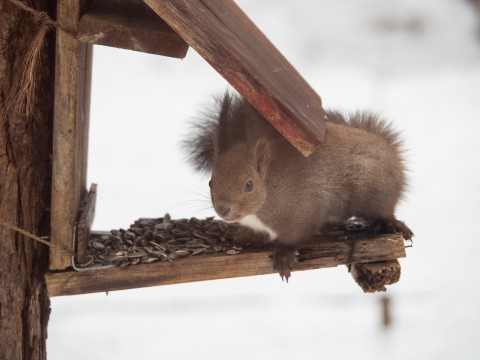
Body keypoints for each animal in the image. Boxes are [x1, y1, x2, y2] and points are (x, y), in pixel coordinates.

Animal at [184, 92, 412, 278]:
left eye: (249, 185)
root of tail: (391, 152)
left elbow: (295, 236)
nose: (223, 209)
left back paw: (394, 224)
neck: (269, 193)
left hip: (377, 193)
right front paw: (244, 237)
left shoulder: (303, 212)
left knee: (385, 211)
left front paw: (283, 255)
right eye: (210, 181)